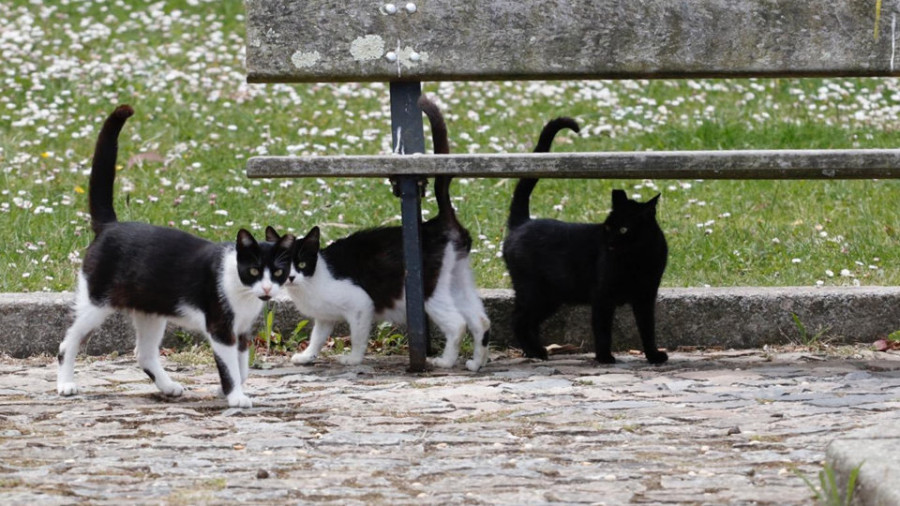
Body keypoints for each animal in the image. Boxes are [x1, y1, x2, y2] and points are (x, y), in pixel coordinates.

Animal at [57, 105, 296, 408]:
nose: (266, 289)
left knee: (144, 353)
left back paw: (168, 386)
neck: (242, 292)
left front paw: (231, 390)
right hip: (95, 302)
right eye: (253, 270)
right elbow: (230, 367)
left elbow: (242, 368)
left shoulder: (242, 331)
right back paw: (65, 384)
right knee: (68, 342)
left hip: (151, 309)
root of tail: (110, 225)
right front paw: (235, 397)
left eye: (277, 272)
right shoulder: (221, 329)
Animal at [272, 96, 492, 372]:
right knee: (481, 320)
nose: (291, 277)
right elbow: (317, 337)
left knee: (457, 324)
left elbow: (357, 337)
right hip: (457, 280)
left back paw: (445, 361)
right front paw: (306, 356)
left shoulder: (360, 304)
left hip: (429, 291)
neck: (311, 282)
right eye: (281, 266)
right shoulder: (324, 317)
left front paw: (353, 359)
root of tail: (439, 221)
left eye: (301, 263)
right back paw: (476, 363)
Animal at [502, 117, 672, 364]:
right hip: (536, 292)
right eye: (608, 227)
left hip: (551, 297)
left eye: (623, 229)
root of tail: (523, 222)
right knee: (518, 319)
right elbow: (602, 330)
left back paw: (534, 351)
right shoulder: (602, 296)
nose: (608, 242)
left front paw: (653, 355)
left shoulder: (645, 296)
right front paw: (604, 357)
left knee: (525, 320)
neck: (638, 258)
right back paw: (537, 352)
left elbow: (647, 329)